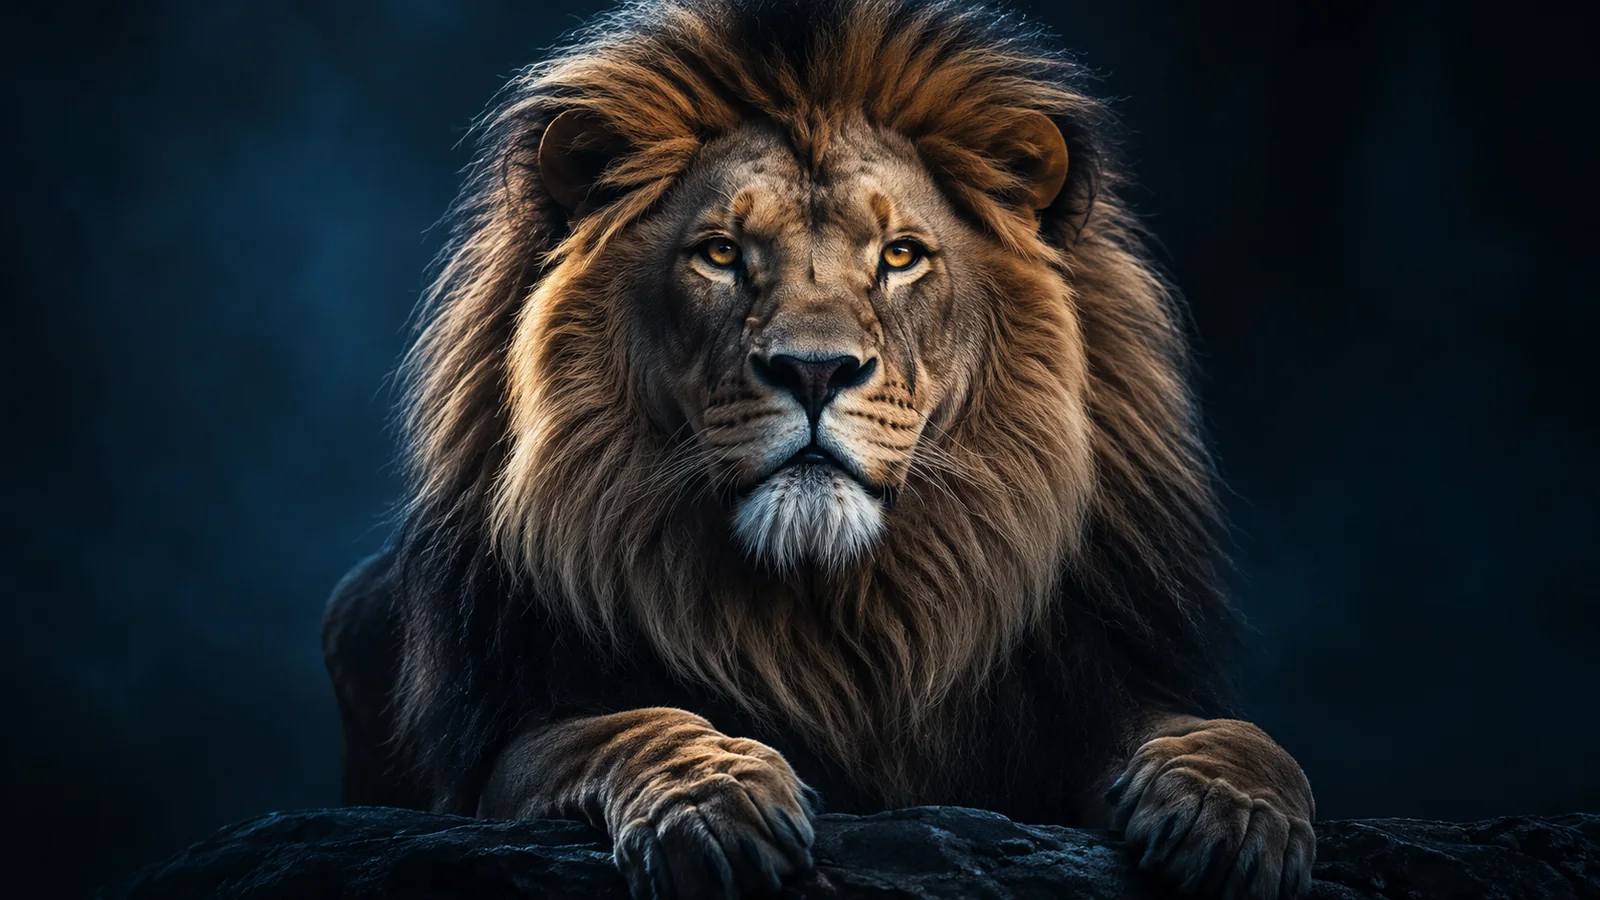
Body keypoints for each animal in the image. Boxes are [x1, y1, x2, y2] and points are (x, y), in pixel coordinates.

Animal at [321, 0, 1316, 897]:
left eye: (902, 256)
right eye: (721, 254)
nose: (813, 370)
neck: (836, 608)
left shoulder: (1085, 687)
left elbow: (1226, 734)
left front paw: (1234, 813)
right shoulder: (499, 746)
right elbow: (623, 723)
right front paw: (715, 799)